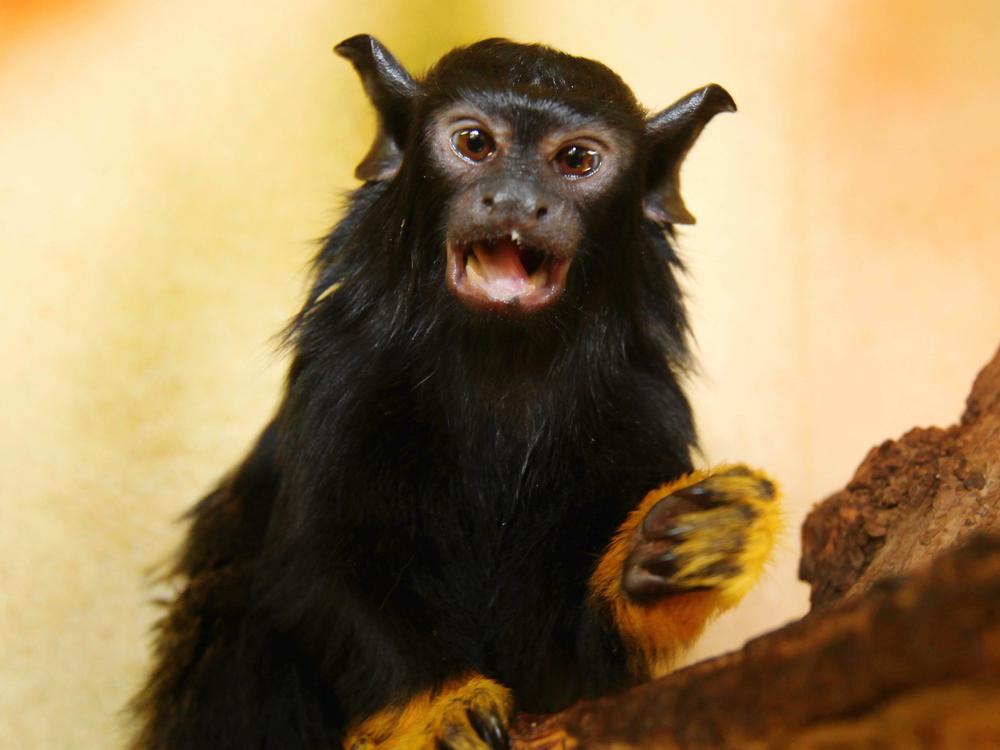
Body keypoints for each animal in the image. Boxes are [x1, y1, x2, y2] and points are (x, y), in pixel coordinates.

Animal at [131, 35, 780, 750]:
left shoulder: (646, 409)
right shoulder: (340, 379)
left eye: (576, 160)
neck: (500, 365)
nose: (517, 201)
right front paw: (437, 707)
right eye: (475, 144)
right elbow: (317, 570)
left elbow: (580, 664)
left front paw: (686, 548)